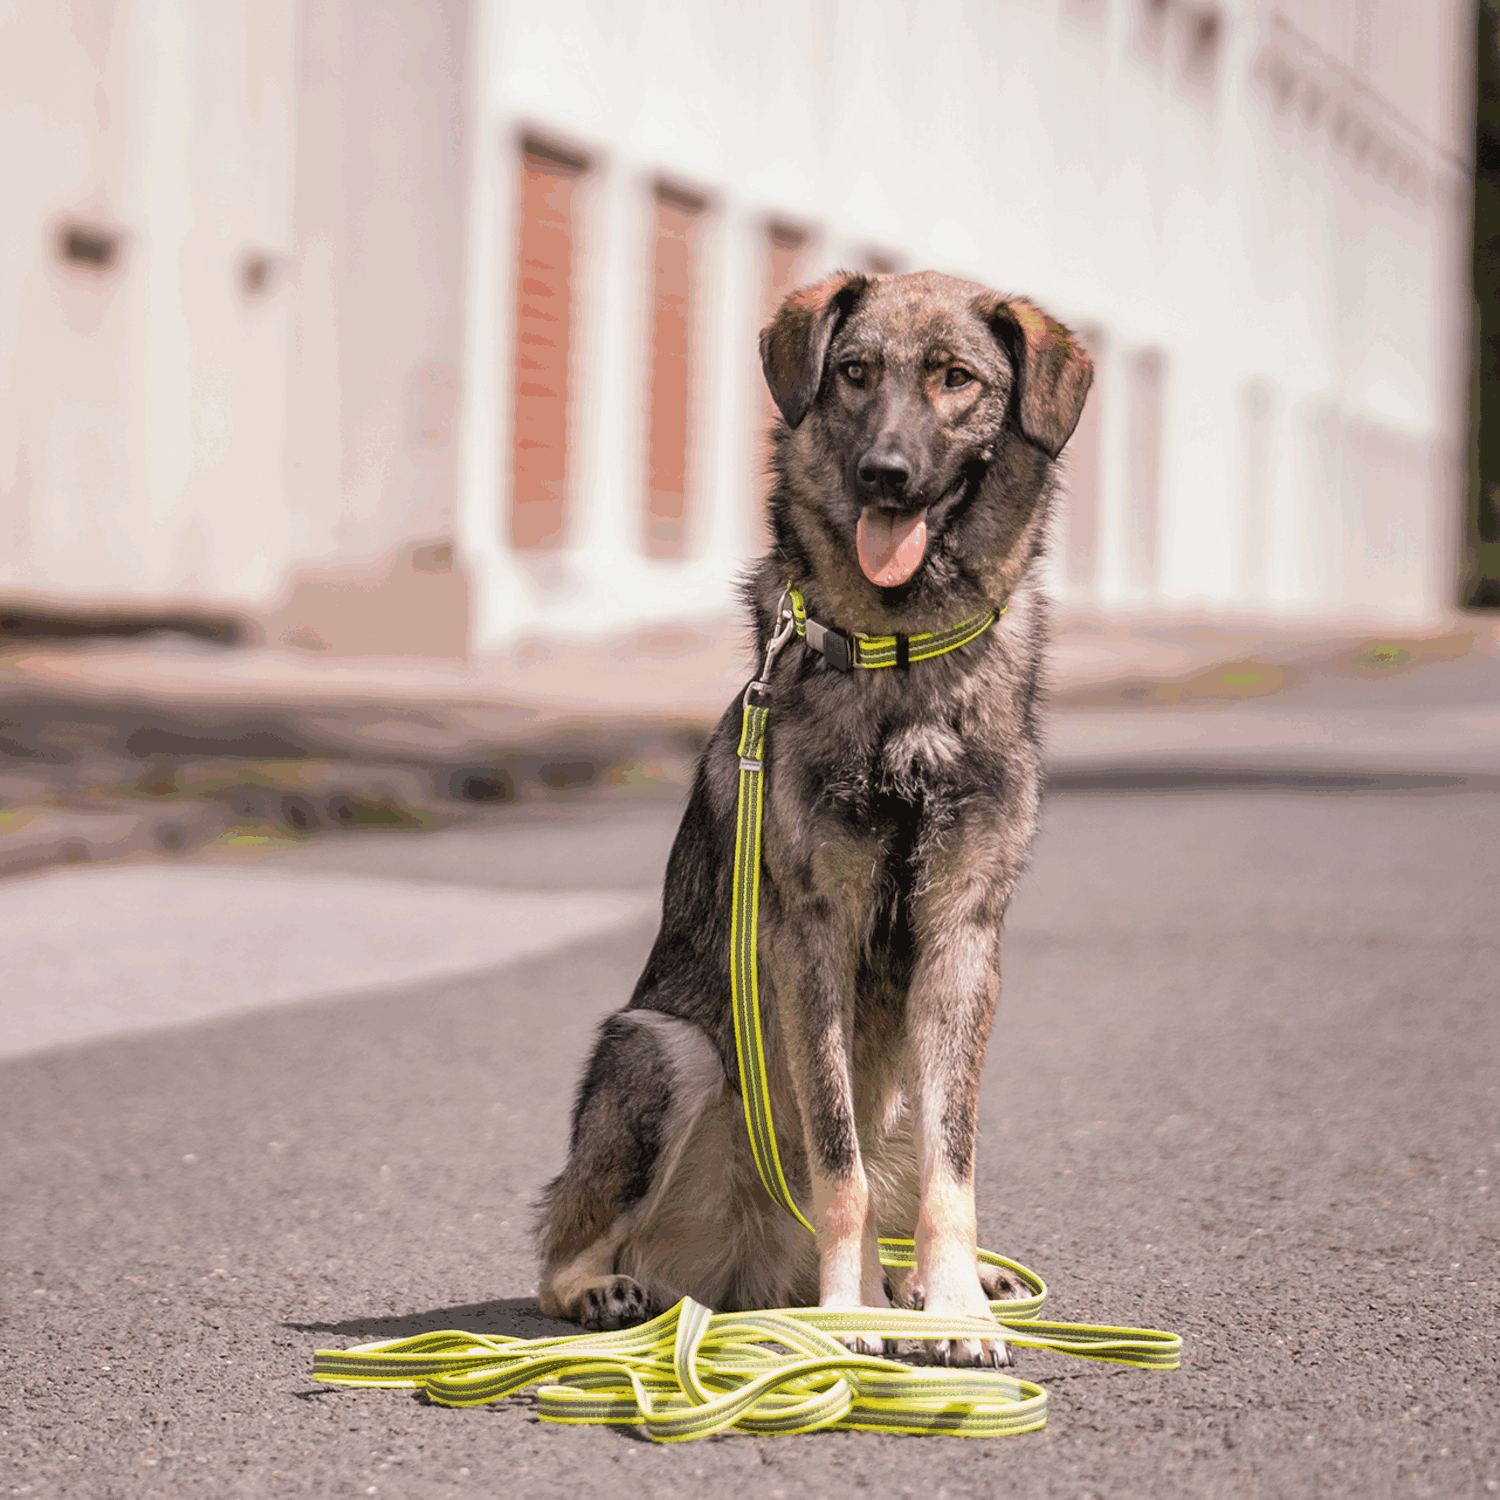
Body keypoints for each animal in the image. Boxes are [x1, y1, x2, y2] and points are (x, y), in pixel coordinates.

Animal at [537, 264, 1092, 1368]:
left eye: (957, 379)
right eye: (855, 374)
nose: (885, 475)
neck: (903, 657)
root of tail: (747, 1280)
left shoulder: (962, 942)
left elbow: (952, 1165)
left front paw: (955, 1305)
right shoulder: (812, 943)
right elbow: (838, 1165)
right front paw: (850, 1317)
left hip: (901, 1066)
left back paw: (929, 1284)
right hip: (662, 1049)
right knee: (560, 1244)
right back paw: (618, 1290)